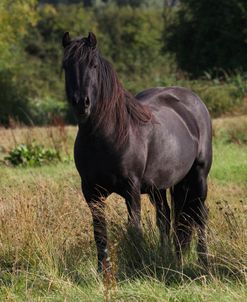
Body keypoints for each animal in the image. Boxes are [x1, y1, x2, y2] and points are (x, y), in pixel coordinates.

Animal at [61, 31, 212, 272]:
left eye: (93, 65)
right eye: (66, 66)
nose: (81, 104)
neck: (106, 135)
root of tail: (193, 101)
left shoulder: (131, 189)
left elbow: (134, 229)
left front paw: (136, 267)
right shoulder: (91, 192)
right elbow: (99, 232)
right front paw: (102, 270)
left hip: (198, 177)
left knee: (200, 215)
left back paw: (203, 261)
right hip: (159, 187)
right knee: (166, 217)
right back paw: (170, 257)